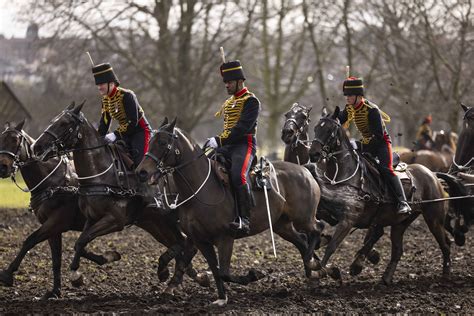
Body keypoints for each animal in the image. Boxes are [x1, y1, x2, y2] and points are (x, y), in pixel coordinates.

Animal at [0, 119, 120, 298]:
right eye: (1, 139)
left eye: (15, 140)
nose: (3, 167)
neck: (53, 182)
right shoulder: (52, 227)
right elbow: (57, 258)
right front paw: (56, 290)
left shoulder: (57, 222)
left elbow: (29, 241)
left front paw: (7, 274)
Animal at [32, 102, 210, 292]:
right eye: (53, 120)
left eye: (64, 123)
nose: (37, 147)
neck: (102, 174)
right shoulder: (91, 218)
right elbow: (81, 243)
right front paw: (105, 258)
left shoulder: (114, 220)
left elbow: (81, 241)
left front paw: (77, 273)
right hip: (155, 223)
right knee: (181, 244)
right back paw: (185, 276)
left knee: (186, 244)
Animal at [135, 117, 324, 304]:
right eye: (150, 141)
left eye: (163, 142)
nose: (141, 172)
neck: (201, 188)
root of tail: (304, 170)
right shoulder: (200, 240)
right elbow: (215, 269)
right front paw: (221, 297)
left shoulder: (225, 238)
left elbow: (224, 272)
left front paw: (254, 275)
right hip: (282, 225)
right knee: (302, 241)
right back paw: (313, 272)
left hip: (303, 219)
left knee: (317, 229)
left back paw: (315, 265)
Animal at [308, 107, 452, 286]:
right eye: (315, 128)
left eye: (329, 130)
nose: (313, 154)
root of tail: (432, 174)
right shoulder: (329, 214)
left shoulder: (348, 220)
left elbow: (332, 246)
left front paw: (324, 271)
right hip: (400, 223)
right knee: (396, 249)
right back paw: (384, 276)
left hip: (434, 220)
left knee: (445, 244)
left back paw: (446, 274)